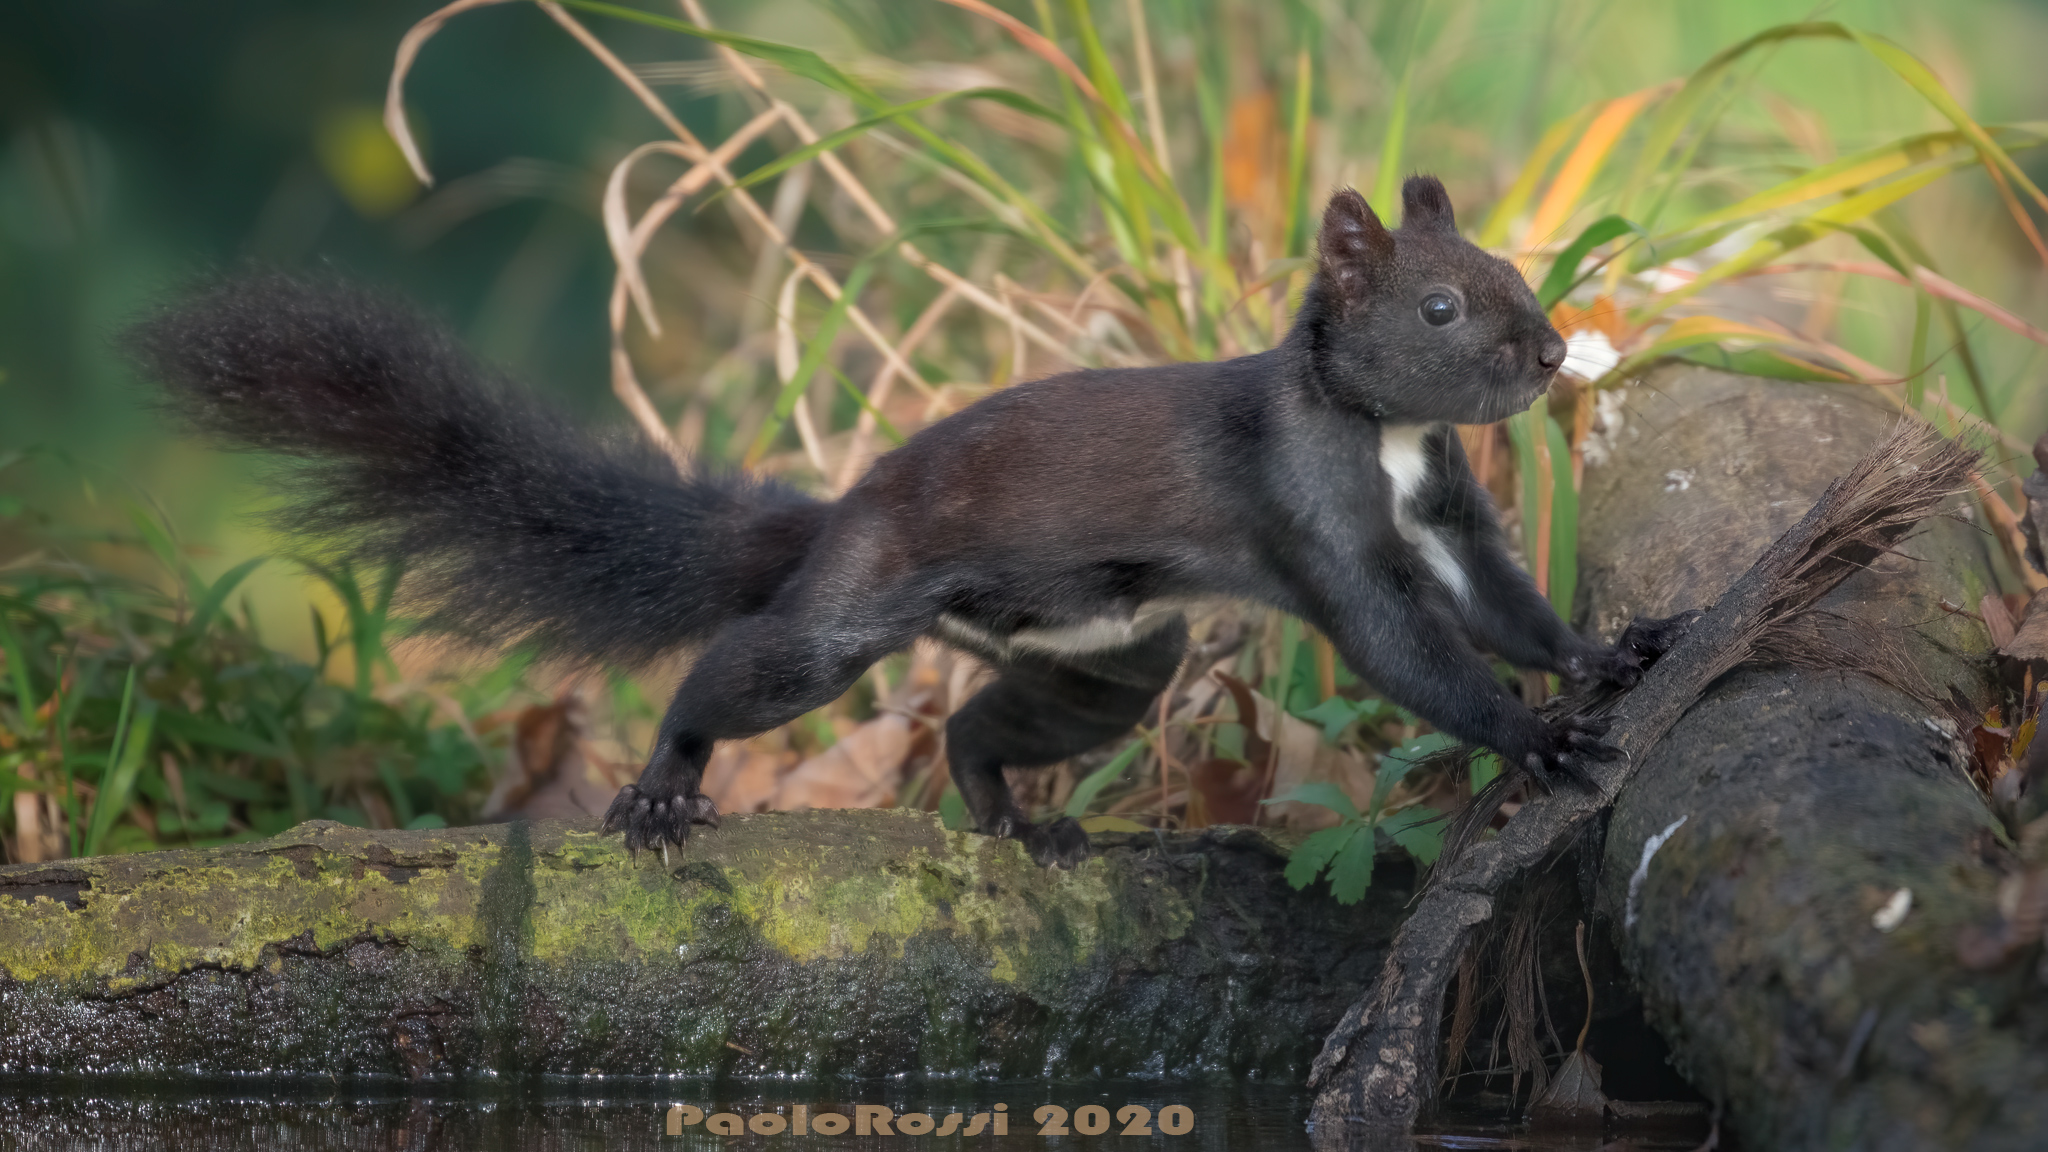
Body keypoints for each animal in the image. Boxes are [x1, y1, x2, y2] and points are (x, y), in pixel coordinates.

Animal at [125, 176, 1687, 868]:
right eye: (1441, 305)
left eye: (1512, 269)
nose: (1549, 351)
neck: (1393, 439)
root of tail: (845, 509)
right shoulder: (1318, 514)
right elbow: (1404, 646)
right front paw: (1538, 739)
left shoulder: (1452, 515)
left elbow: (1507, 607)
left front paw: (1609, 660)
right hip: (852, 617)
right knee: (732, 672)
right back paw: (663, 791)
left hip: (1106, 664)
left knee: (974, 733)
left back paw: (1023, 829)